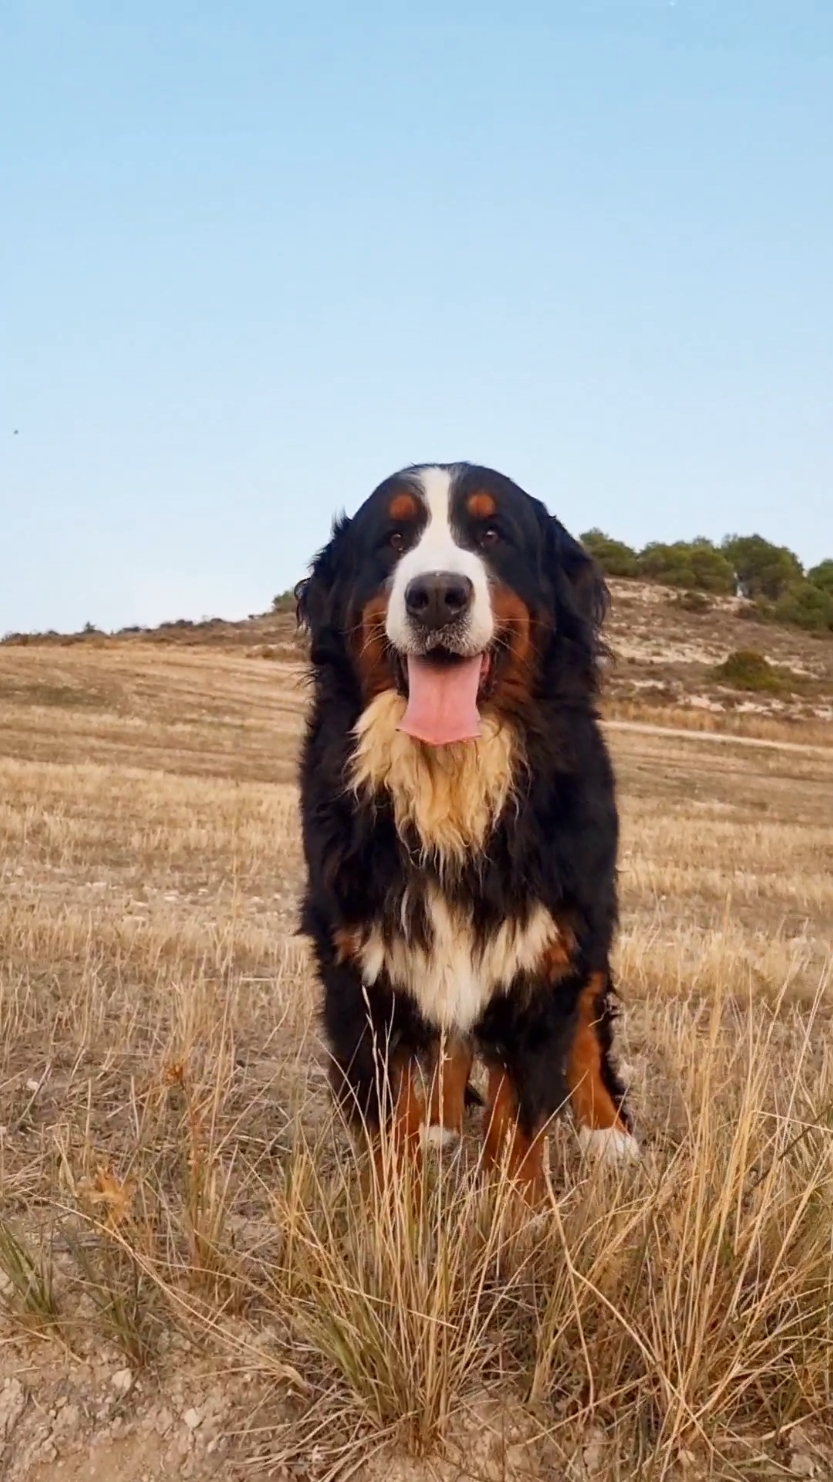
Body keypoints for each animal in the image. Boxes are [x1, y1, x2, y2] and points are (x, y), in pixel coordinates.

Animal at [293, 456, 634, 1197]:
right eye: (394, 539)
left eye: (491, 534)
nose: (437, 595)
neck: (449, 777)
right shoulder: (362, 963)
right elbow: (387, 1119)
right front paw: (392, 1207)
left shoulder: (545, 952)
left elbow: (521, 1124)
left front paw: (516, 1210)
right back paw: (443, 1121)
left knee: (588, 1025)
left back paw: (609, 1133)